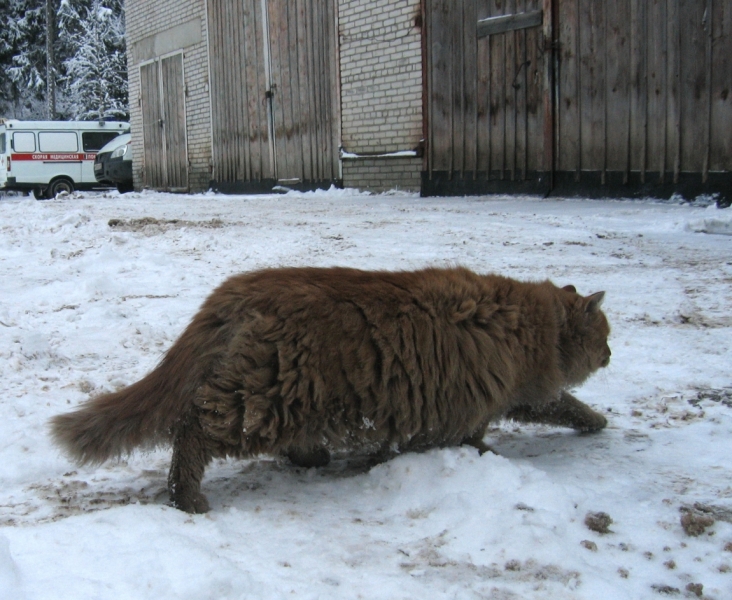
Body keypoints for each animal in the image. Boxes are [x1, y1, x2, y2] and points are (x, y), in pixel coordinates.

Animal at [51, 268, 608, 510]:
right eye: (604, 336)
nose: (609, 356)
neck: (529, 322)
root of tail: (235, 290)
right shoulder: (488, 400)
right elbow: (557, 407)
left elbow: (559, 405)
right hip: (269, 394)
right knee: (193, 432)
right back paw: (186, 496)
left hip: (294, 397)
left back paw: (312, 457)